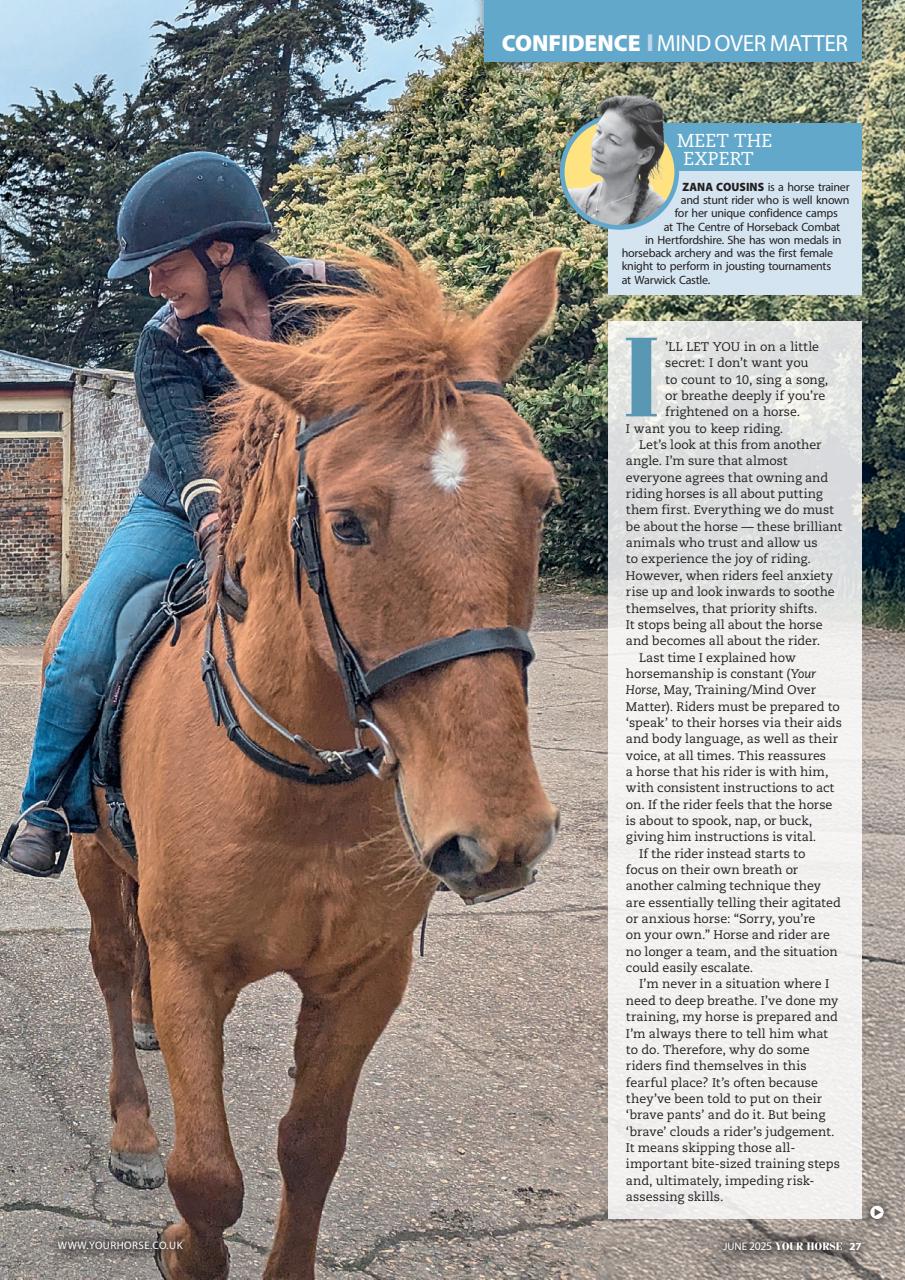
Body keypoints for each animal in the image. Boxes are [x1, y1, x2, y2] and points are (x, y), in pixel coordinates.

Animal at [54, 243, 562, 1279]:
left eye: (542, 497)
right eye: (349, 523)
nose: (496, 838)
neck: (299, 785)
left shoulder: (364, 979)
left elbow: (311, 1149)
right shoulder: (195, 968)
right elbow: (207, 1178)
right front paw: (181, 1240)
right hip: (92, 863)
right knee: (112, 965)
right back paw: (131, 1130)